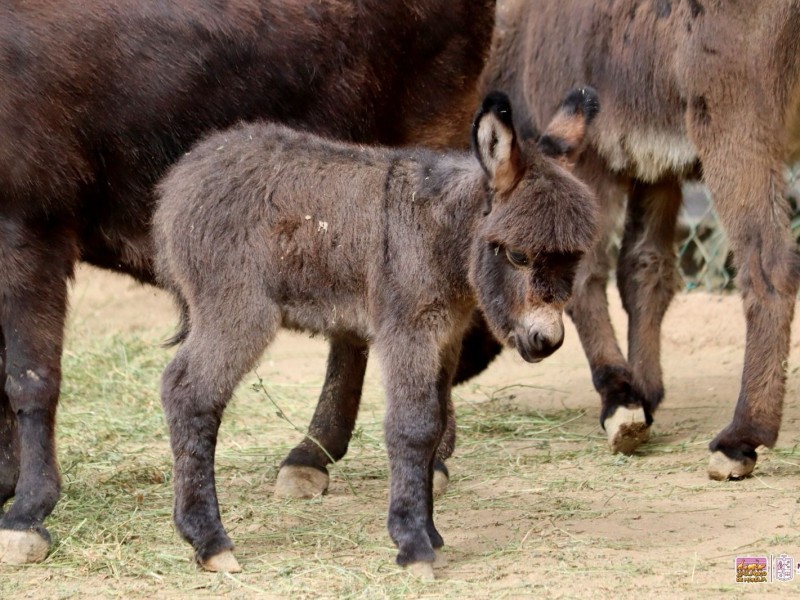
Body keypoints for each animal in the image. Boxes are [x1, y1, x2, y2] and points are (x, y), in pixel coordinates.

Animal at [153, 90, 596, 576]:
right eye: (517, 255)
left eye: (573, 259)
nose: (547, 341)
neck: (441, 233)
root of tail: (184, 176)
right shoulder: (408, 330)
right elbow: (414, 426)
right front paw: (414, 546)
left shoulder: (446, 335)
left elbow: (436, 424)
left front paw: (431, 534)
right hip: (238, 310)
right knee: (188, 393)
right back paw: (210, 541)